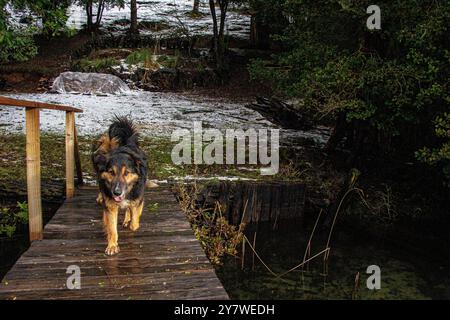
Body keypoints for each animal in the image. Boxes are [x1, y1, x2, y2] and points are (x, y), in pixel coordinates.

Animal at [91, 117, 148, 255]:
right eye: (111, 172)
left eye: (126, 173)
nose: (117, 192)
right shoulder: (110, 206)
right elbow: (112, 229)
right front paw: (112, 246)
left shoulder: (138, 199)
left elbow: (134, 223)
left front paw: (131, 221)